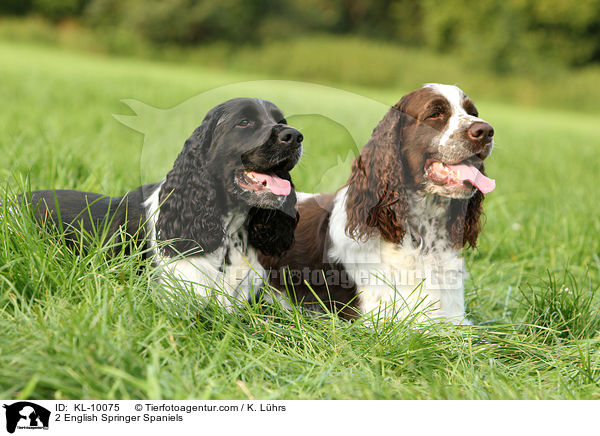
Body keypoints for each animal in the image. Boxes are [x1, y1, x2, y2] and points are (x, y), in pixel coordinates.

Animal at [262, 84, 496, 324]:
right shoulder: (384, 318)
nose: (486, 131)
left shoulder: (455, 317)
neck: (423, 239)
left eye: (473, 112)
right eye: (435, 113)